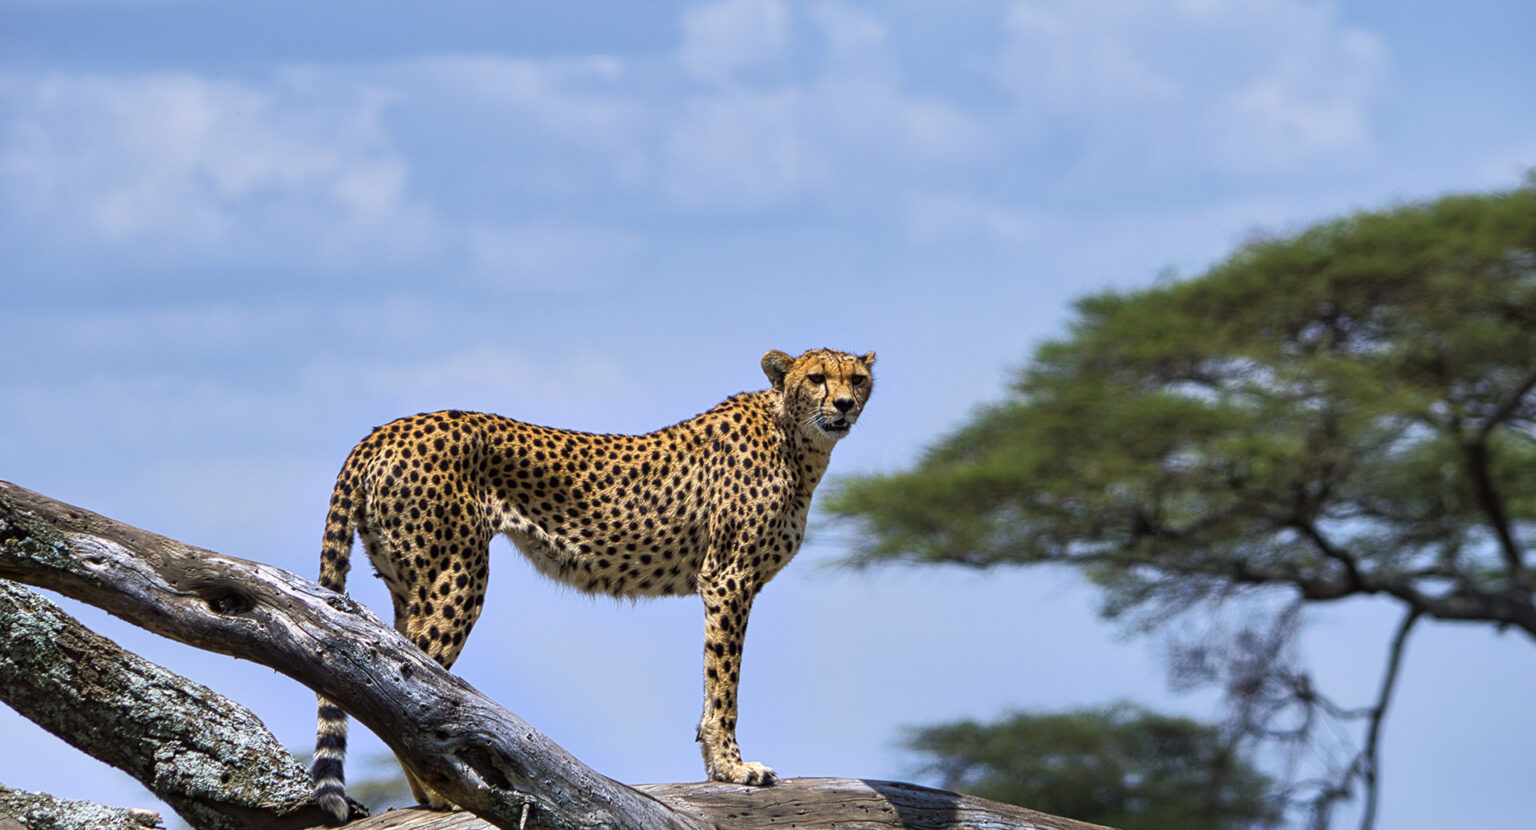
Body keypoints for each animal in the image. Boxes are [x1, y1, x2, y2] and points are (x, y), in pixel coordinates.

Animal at [310, 347, 876, 821]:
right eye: (817, 378)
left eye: (859, 379)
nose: (845, 405)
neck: (797, 439)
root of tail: (386, 429)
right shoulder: (727, 579)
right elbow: (724, 683)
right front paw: (735, 769)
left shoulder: (729, 583)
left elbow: (712, 683)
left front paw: (718, 769)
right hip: (456, 577)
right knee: (405, 682)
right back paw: (443, 794)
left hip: (409, 584)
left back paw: (432, 793)